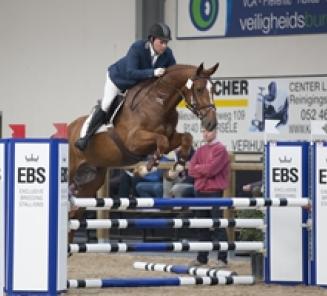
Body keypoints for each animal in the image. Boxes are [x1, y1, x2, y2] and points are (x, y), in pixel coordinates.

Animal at [68, 62, 219, 199]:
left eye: (213, 90)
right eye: (199, 89)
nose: (211, 123)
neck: (159, 105)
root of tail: (69, 128)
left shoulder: (170, 138)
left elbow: (186, 137)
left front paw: (175, 169)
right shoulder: (133, 142)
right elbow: (162, 141)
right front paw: (142, 170)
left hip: (94, 176)